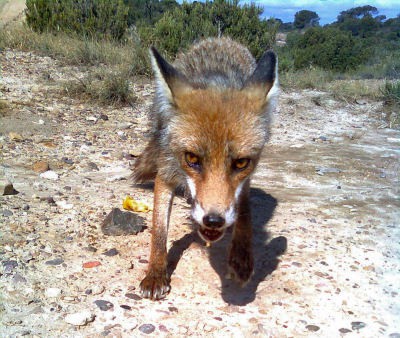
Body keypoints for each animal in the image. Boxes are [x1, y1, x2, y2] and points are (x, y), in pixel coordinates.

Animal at [133, 37, 276, 302]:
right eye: (191, 158)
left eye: (241, 163)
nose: (213, 221)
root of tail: (221, 40)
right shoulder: (166, 171)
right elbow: (159, 229)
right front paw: (156, 272)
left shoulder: (245, 179)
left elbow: (244, 213)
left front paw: (241, 257)